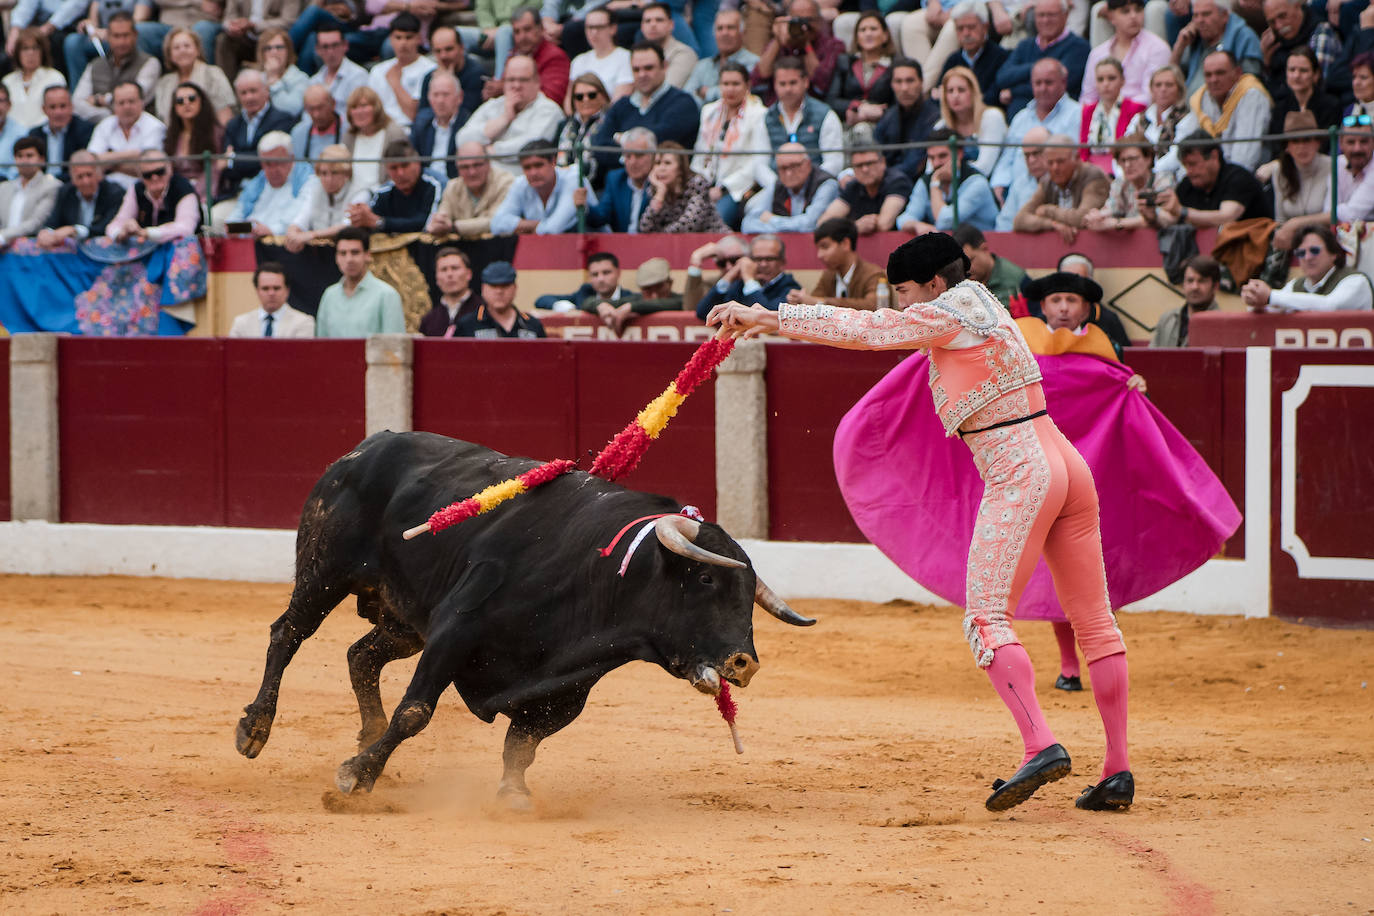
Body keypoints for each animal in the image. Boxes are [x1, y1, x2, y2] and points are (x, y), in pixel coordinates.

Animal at [233, 431, 813, 802]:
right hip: (325, 572)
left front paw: (514, 793)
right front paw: (357, 778)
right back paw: (255, 729)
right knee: (287, 634)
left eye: (749, 594)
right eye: (707, 580)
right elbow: (415, 713)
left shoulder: (567, 685)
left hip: (403, 620)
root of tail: (366, 447)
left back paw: (365, 733)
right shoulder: (454, 630)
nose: (744, 662)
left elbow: (525, 742)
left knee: (361, 654)